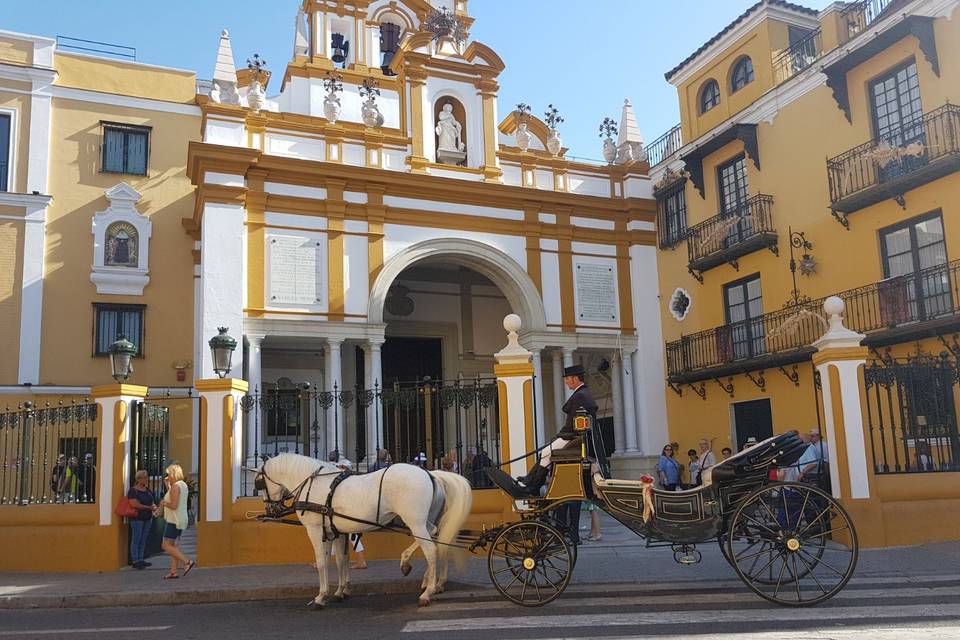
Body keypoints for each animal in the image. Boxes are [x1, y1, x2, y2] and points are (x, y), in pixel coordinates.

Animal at [258, 452, 472, 608]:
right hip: (424, 521)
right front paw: (341, 591)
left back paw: (428, 592)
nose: (270, 508)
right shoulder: (336, 531)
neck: (314, 484)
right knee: (437, 537)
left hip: (415, 521)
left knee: (431, 550)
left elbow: (322, 562)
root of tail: (431, 473)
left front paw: (320, 596)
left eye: (260, 482)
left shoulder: (315, 529)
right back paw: (425, 577)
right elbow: (340, 560)